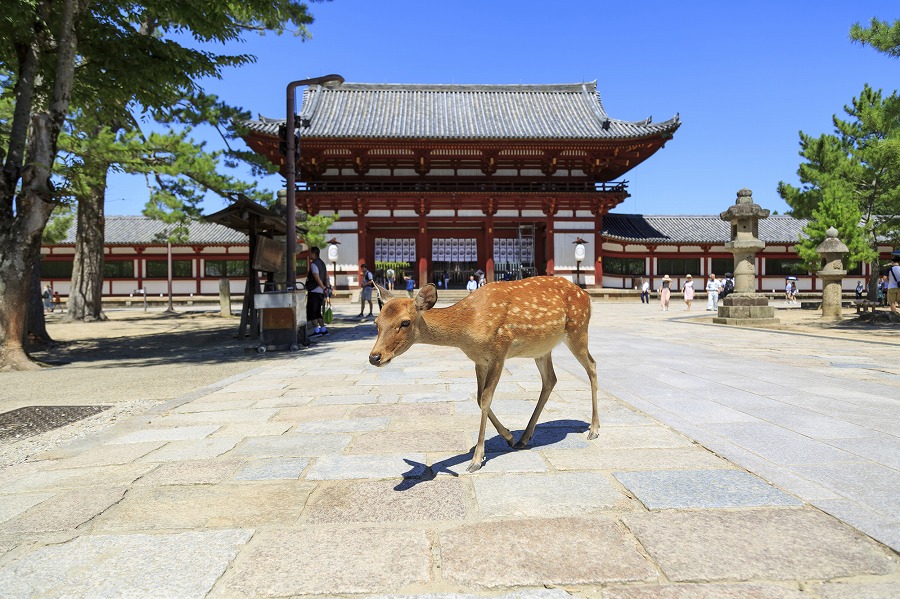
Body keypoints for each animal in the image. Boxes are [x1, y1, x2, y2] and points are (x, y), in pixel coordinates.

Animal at [366, 276, 596, 474]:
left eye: (405, 322)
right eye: (376, 322)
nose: (375, 357)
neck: (468, 327)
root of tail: (586, 295)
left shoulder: (499, 352)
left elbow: (486, 398)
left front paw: (476, 459)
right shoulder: (479, 360)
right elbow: (478, 398)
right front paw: (509, 436)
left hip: (578, 330)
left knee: (592, 366)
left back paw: (593, 429)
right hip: (542, 349)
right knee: (550, 380)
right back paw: (524, 438)